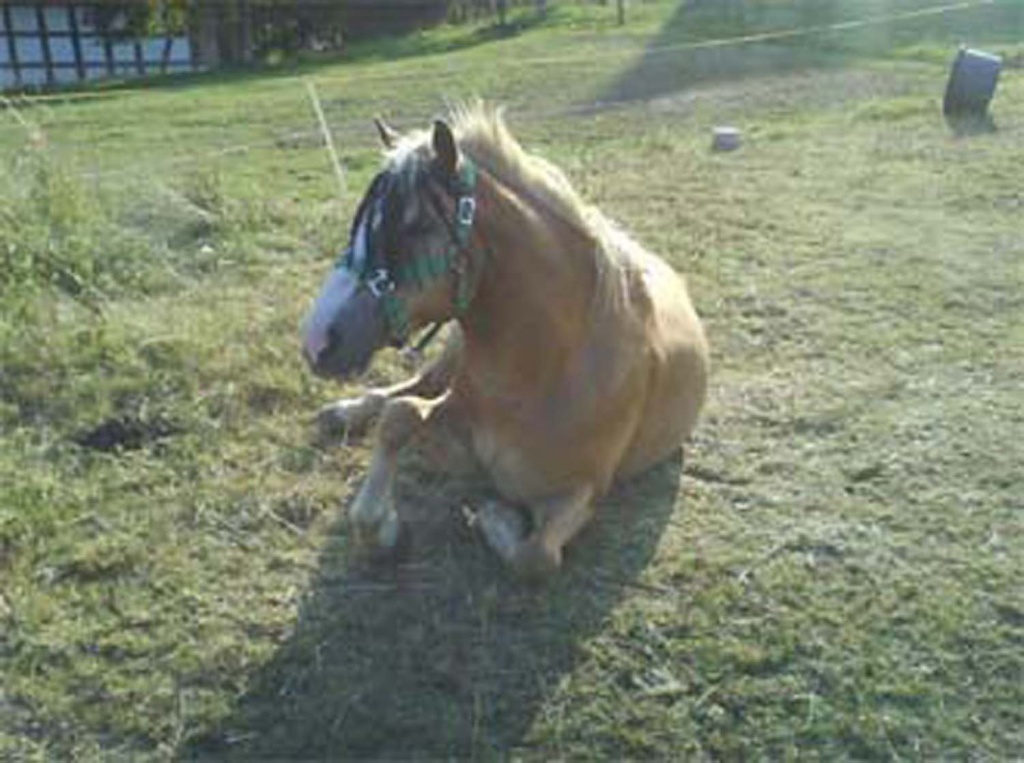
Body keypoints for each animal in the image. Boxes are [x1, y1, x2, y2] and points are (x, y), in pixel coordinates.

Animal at [301, 104, 709, 580]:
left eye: (415, 225)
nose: (317, 340)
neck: (550, 368)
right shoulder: (456, 409)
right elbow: (399, 416)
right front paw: (383, 529)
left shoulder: (582, 492)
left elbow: (536, 556)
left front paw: (493, 515)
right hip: (451, 354)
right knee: (405, 389)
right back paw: (346, 411)